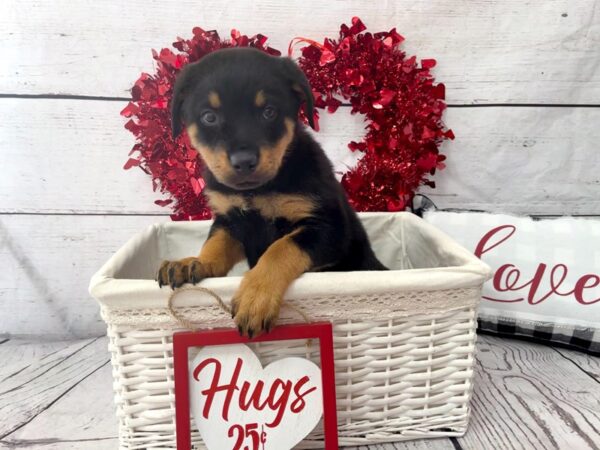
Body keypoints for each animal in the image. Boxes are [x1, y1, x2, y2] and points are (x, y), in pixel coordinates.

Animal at [157, 49, 386, 338]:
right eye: (209, 117)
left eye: (269, 112)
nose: (244, 162)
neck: (258, 191)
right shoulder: (229, 220)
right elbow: (215, 244)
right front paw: (193, 262)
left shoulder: (330, 228)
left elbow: (281, 248)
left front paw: (256, 298)